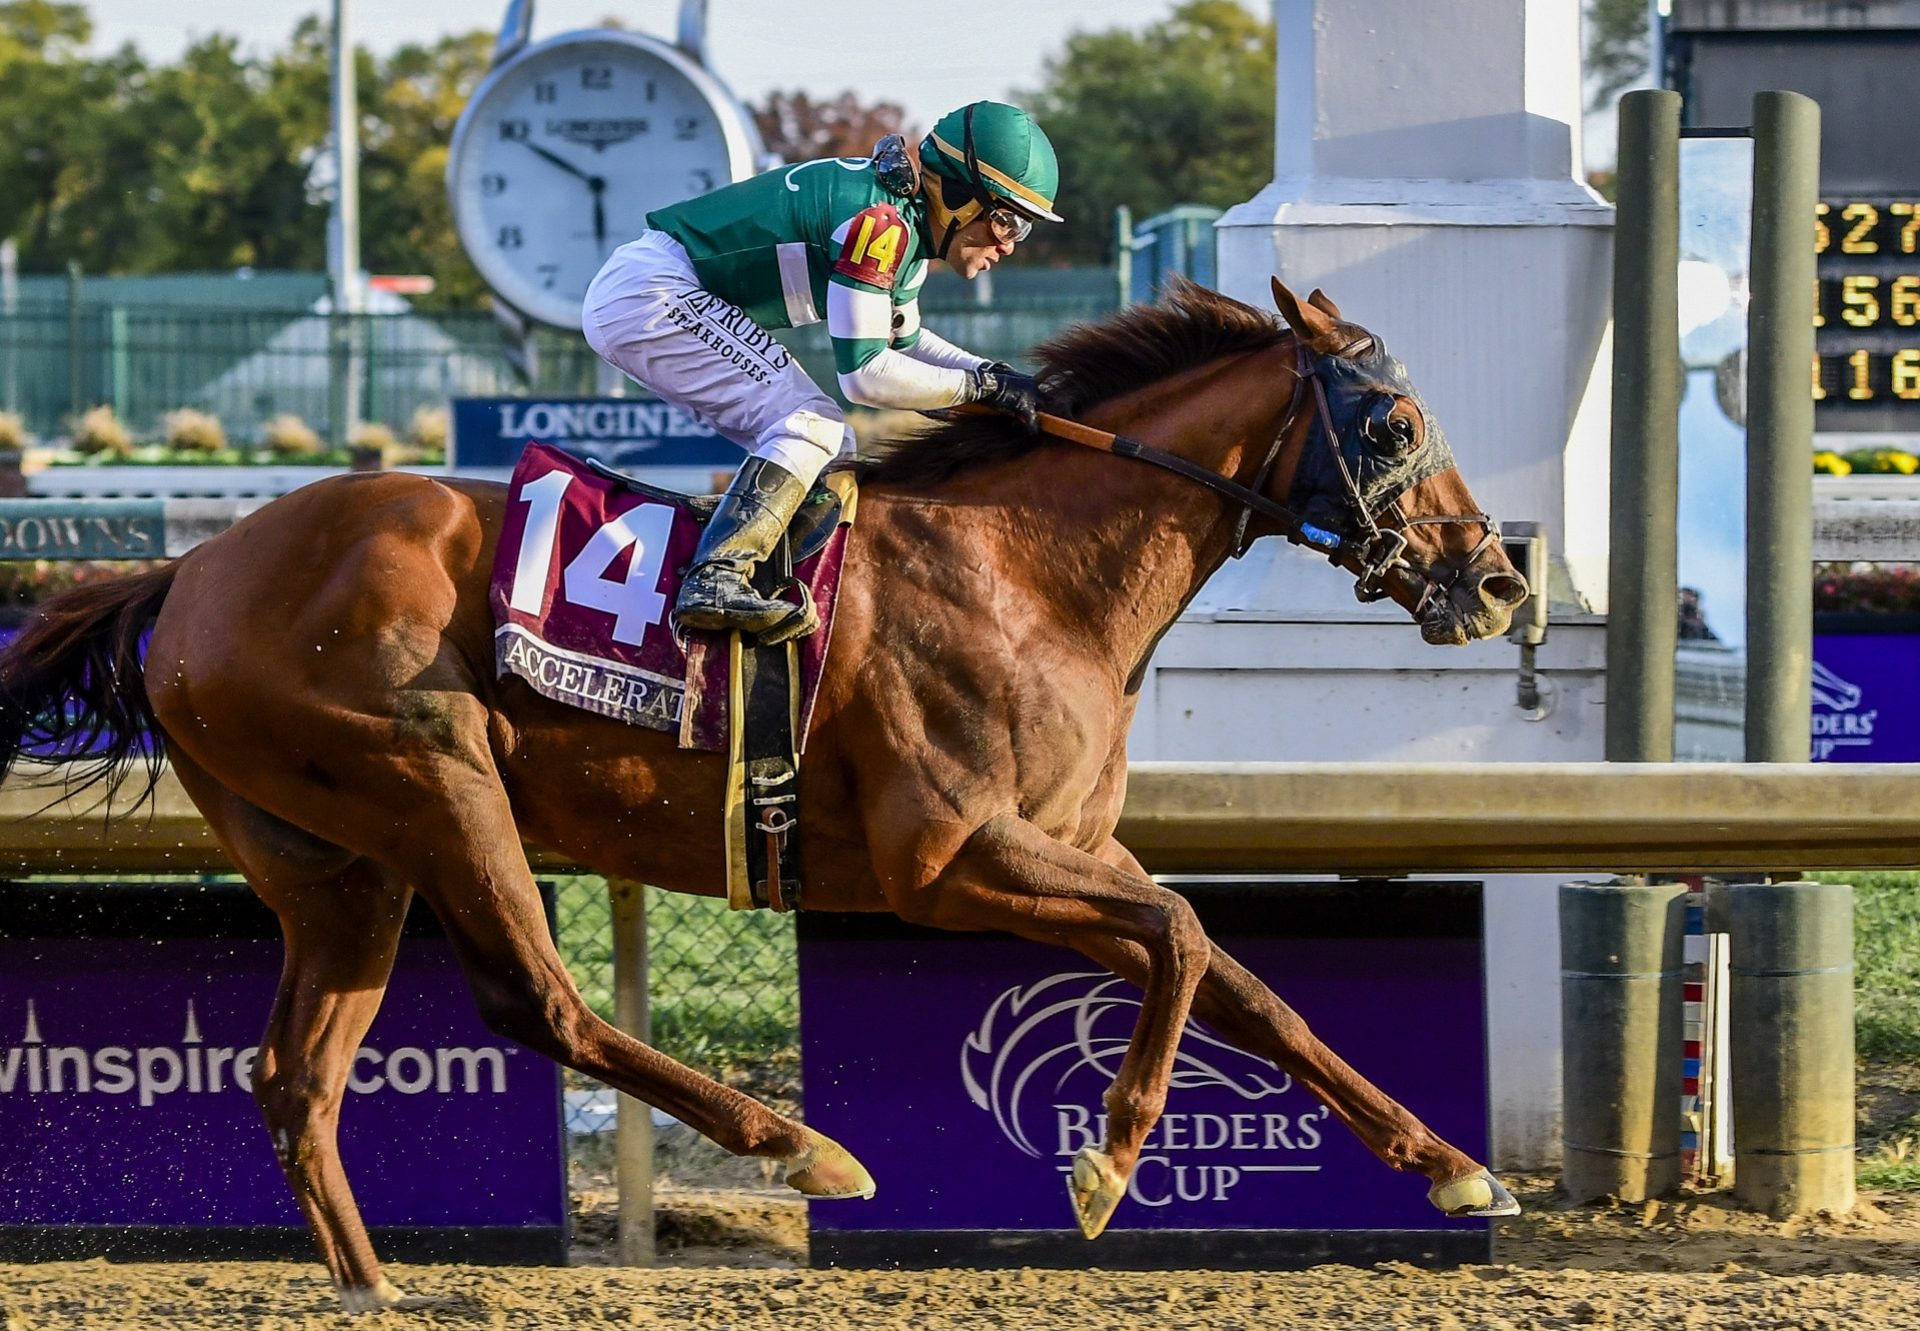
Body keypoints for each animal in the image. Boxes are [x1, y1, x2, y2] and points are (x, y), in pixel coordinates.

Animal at [3, 280, 1528, 1306]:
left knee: (298, 1072)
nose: (1499, 578)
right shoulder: (952, 857)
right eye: (1395, 422)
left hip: (339, 863)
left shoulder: (1068, 850)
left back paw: (375, 1281)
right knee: (539, 999)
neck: (1031, 569)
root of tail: (192, 567)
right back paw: (804, 1146)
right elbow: (1190, 938)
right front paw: (1104, 1163)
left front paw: (1452, 1162)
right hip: (432, 772)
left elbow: (1245, 983)